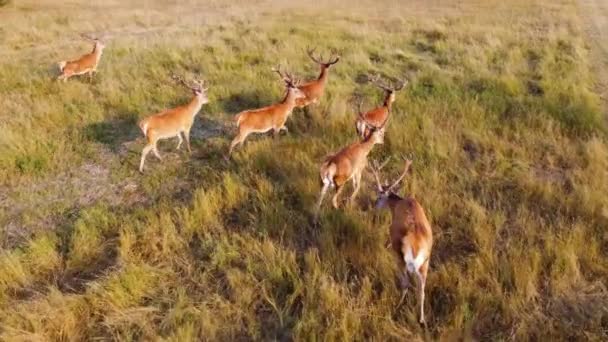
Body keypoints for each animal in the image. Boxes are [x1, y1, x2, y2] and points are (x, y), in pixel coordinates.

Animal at [368, 158, 434, 324]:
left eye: (379, 196)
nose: (374, 207)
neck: (398, 203)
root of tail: (416, 248)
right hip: (425, 263)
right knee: (421, 290)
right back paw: (421, 319)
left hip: (401, 258)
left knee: (406, 283)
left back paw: (397, 307)